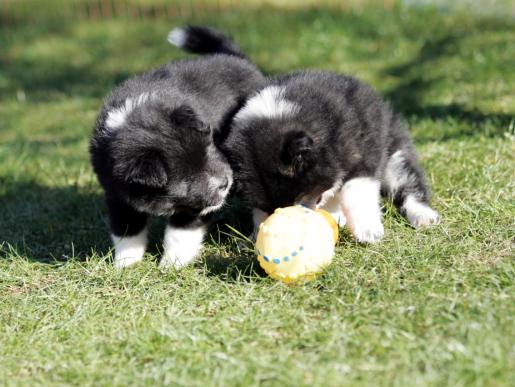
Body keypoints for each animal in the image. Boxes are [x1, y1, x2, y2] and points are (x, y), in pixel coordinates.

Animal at [90, 26, 264, 270]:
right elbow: (126, 230)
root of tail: (236, 59)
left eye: (210, 146)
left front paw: (171, 265)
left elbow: (180, 234)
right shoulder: (117, 194)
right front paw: (125, 265)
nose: (225, 184)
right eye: (186, 178)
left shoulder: (197, 205)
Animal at [224, 72, 442, 242]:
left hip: (394, 154)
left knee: (409, 184)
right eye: (271, 209)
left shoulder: (361, 157)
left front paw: (368, 231)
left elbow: (355, 191)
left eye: (297, 199)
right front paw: (256, 235)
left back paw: (423, 216)